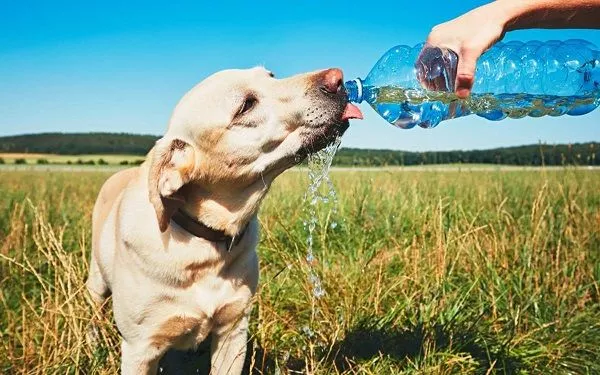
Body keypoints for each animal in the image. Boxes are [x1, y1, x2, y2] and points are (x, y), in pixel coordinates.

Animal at [86, 66, 364, 374]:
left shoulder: (233, 330)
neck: (204, 244)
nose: (337, 78)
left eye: (271, 75)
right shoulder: (140, 349)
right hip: (96, 282)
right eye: (246, 106)